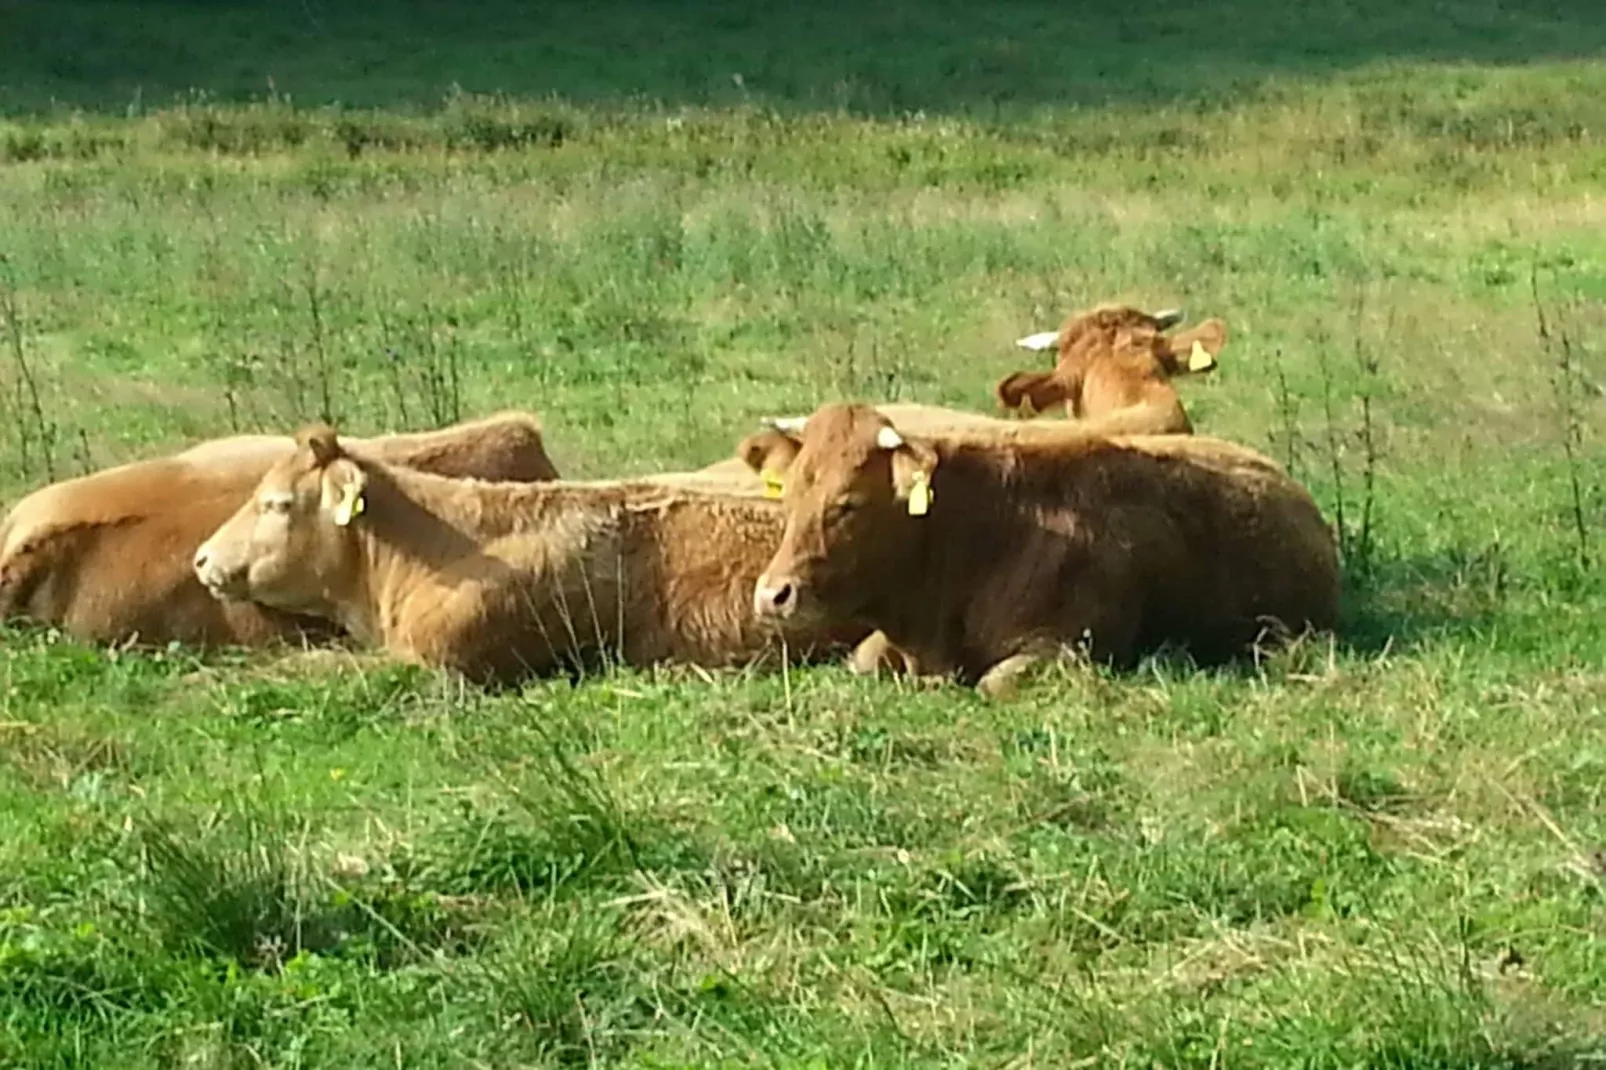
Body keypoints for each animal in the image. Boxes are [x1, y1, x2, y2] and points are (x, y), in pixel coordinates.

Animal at [751, 404, 1342, 697]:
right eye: (791, 495)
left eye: (847, 504)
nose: (773, 594)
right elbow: (864, 660)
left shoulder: (1066, 648)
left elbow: (993, 683)